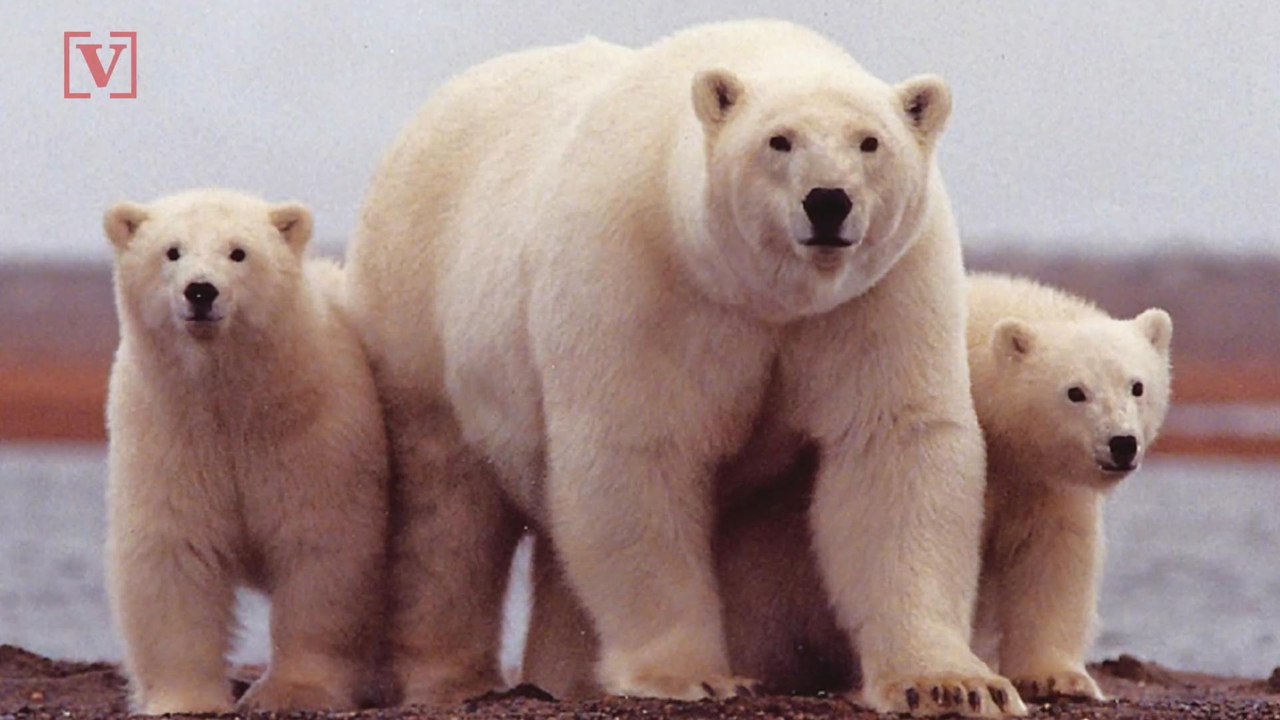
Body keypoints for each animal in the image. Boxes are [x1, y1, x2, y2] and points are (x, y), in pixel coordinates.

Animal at [102, 189, 389, 715]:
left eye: (238, 252)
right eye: (171, 251)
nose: (200, 291)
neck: (232, 399)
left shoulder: (313, 435)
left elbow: (321, 549)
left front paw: (294, 691)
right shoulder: (169, 434)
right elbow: (175, 552)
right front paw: (186, 699)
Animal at [346, 19, 1022, 716]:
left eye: (870, 141)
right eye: (779, 140)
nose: (828, 202)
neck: (763, 294)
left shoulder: (878, 292)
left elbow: (893, 444)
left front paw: (951, 683)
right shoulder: (644, 276)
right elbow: (638, 453)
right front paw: (690, 674)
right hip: (418, 308)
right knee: (446, 509)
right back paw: (449, 677)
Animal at [534, 273, 1170, 705]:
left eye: (1137, 385)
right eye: (1075, 391)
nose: (1121, 444)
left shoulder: (1040, 481)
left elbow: (1052, 557)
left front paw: (1058, 677)